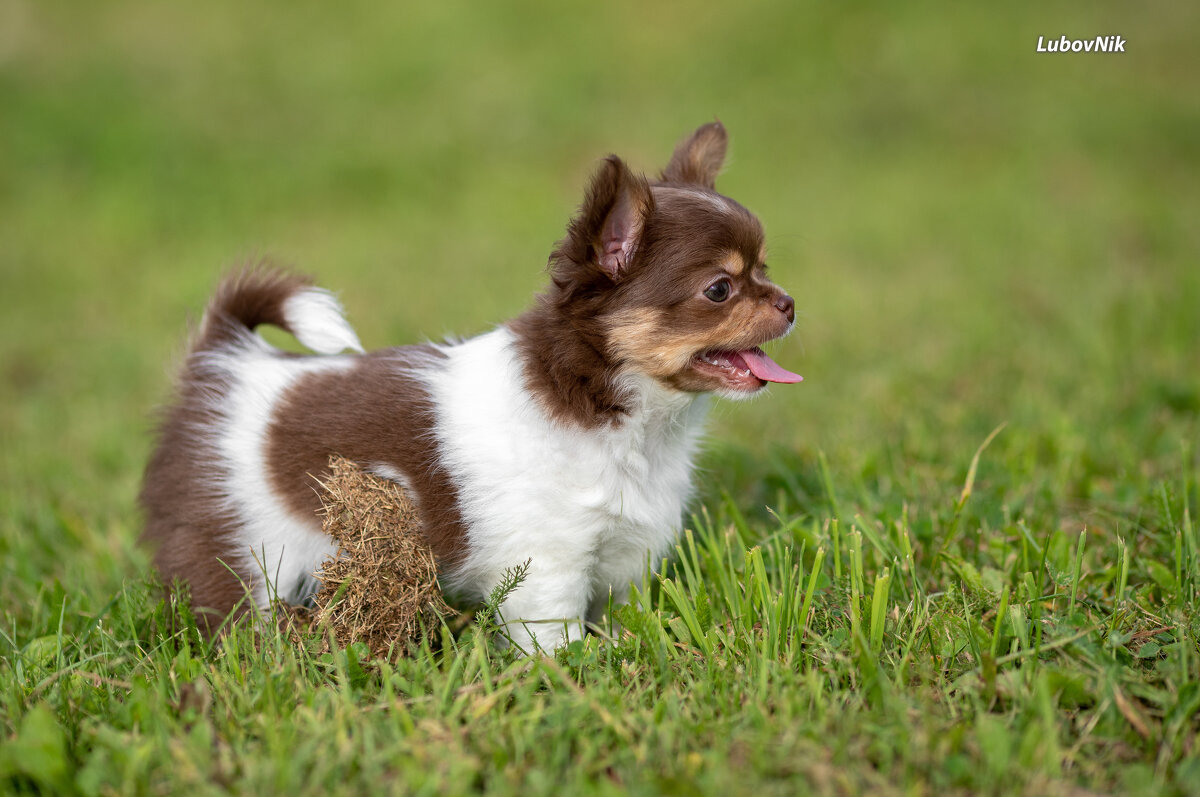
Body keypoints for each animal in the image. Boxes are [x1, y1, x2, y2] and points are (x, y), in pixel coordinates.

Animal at [140, 121, 801, 652]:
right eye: (720, 289)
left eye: (765, 270)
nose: (790, 303)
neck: (628, 419)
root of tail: (225, 355)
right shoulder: (547, 564)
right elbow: (555, 640)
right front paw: (579, 676)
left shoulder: (624, 555)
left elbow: (620, 615)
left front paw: (625, 648)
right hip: (243, 551)